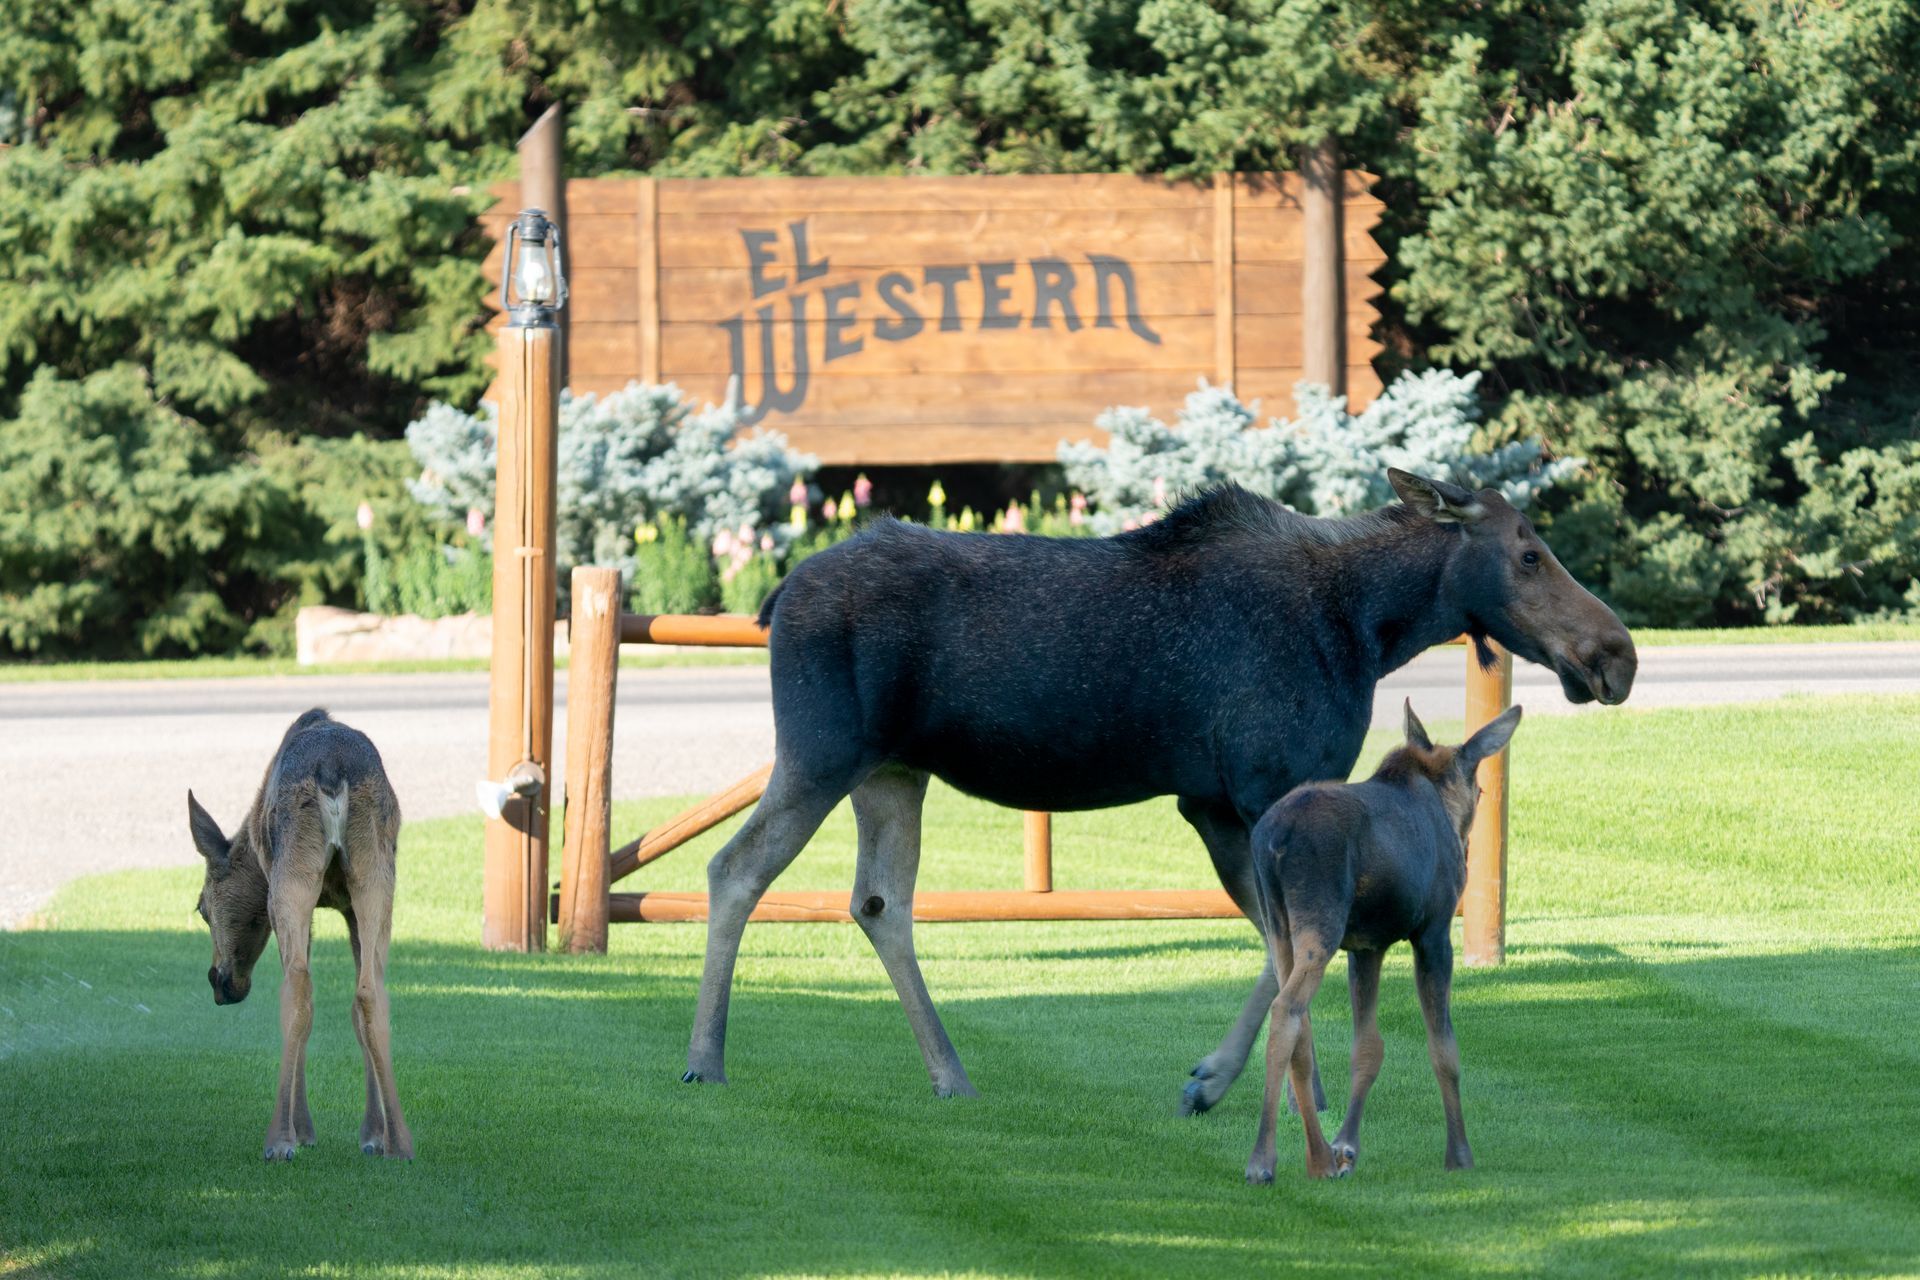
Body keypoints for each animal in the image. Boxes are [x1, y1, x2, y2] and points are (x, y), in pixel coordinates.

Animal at [185, 706, 410, 1166]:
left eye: (201, 909)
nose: (220, 982)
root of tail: (333, 774)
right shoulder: (347, 909)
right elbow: (358, 1009)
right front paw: (372, 1134)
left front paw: (304, 1131)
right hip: (376, 874)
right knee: (371, 990)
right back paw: (399, 1141)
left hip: (292, 876)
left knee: (297, 986)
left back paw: (279, 1139)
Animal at [683, 468, 1628, 1113]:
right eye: (1528, 553)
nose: (1616, 653)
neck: (1370, 628)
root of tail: (776, 595)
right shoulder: (1256, 785)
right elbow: (1290, 946)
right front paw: (1226, 1082)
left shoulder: (1213, 802)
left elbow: (1282, 946)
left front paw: (1288, 1085)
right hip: (822, 751)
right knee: (735, 868)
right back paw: (705, 1058)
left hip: (892, 770)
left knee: (880, 901)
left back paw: (950, 1073)